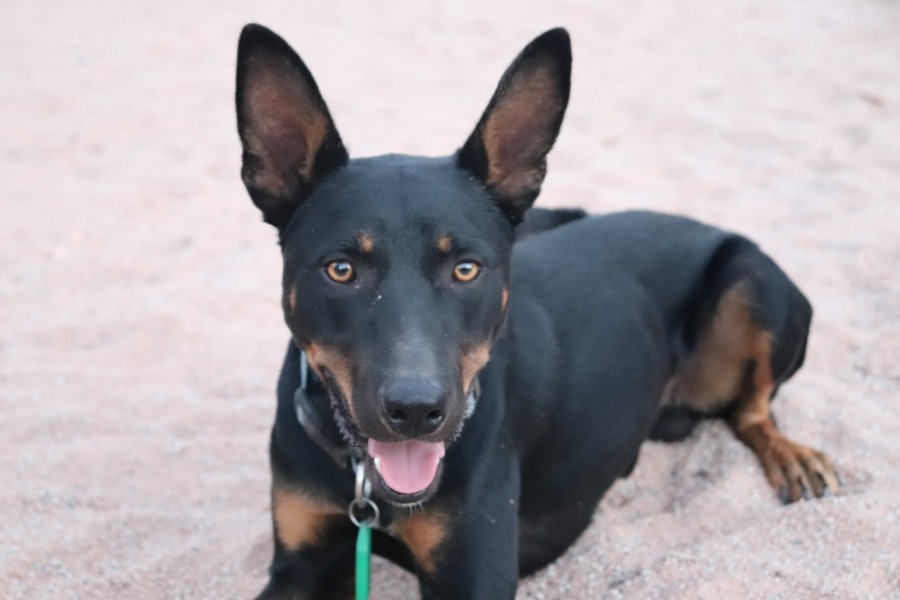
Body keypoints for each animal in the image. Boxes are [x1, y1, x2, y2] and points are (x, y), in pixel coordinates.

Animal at [234, 24, 840, 599]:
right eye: (340, 270)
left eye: (466, 269)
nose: (415, 412)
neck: (366, 482)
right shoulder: (302, 561)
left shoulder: (472, 579)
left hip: (754, 278)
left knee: (752, 410)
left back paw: (793, 457)